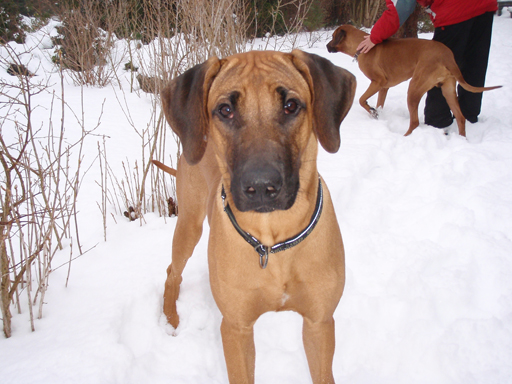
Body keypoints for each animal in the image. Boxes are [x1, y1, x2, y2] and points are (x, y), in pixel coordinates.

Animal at [159, 49, 356, 382]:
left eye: (291, 105)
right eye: (225, 110)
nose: (262, 186)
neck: (272, 242)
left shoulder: (319, 323)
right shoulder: (235, 328)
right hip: (189, 222)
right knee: (173, 270)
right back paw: (170, 317)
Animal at [328, 24, 500, 138]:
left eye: (332, 37)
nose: (327, 46)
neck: (360, 45)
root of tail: (447, 56)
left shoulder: (378, 82)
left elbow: (361, 99)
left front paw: (372, 111)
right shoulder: (384, 87)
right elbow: (379, 103)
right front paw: (377, 113)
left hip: (414, 88)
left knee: (415, 121)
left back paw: (405, 137)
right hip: (448, 89)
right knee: (460, 117)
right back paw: (462, 139)